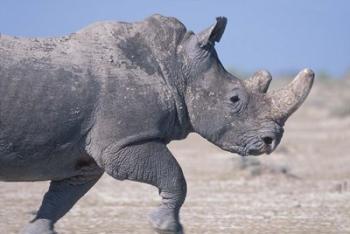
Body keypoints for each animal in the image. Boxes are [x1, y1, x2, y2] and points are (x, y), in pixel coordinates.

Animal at [0, 15, 314, 234]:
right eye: (234, 99)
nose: (271, 140)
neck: (176, 66)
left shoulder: (83, 158)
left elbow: (59, 199)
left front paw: (36, 229)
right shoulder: (121, 143)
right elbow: (175, 176)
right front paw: (165, 225)